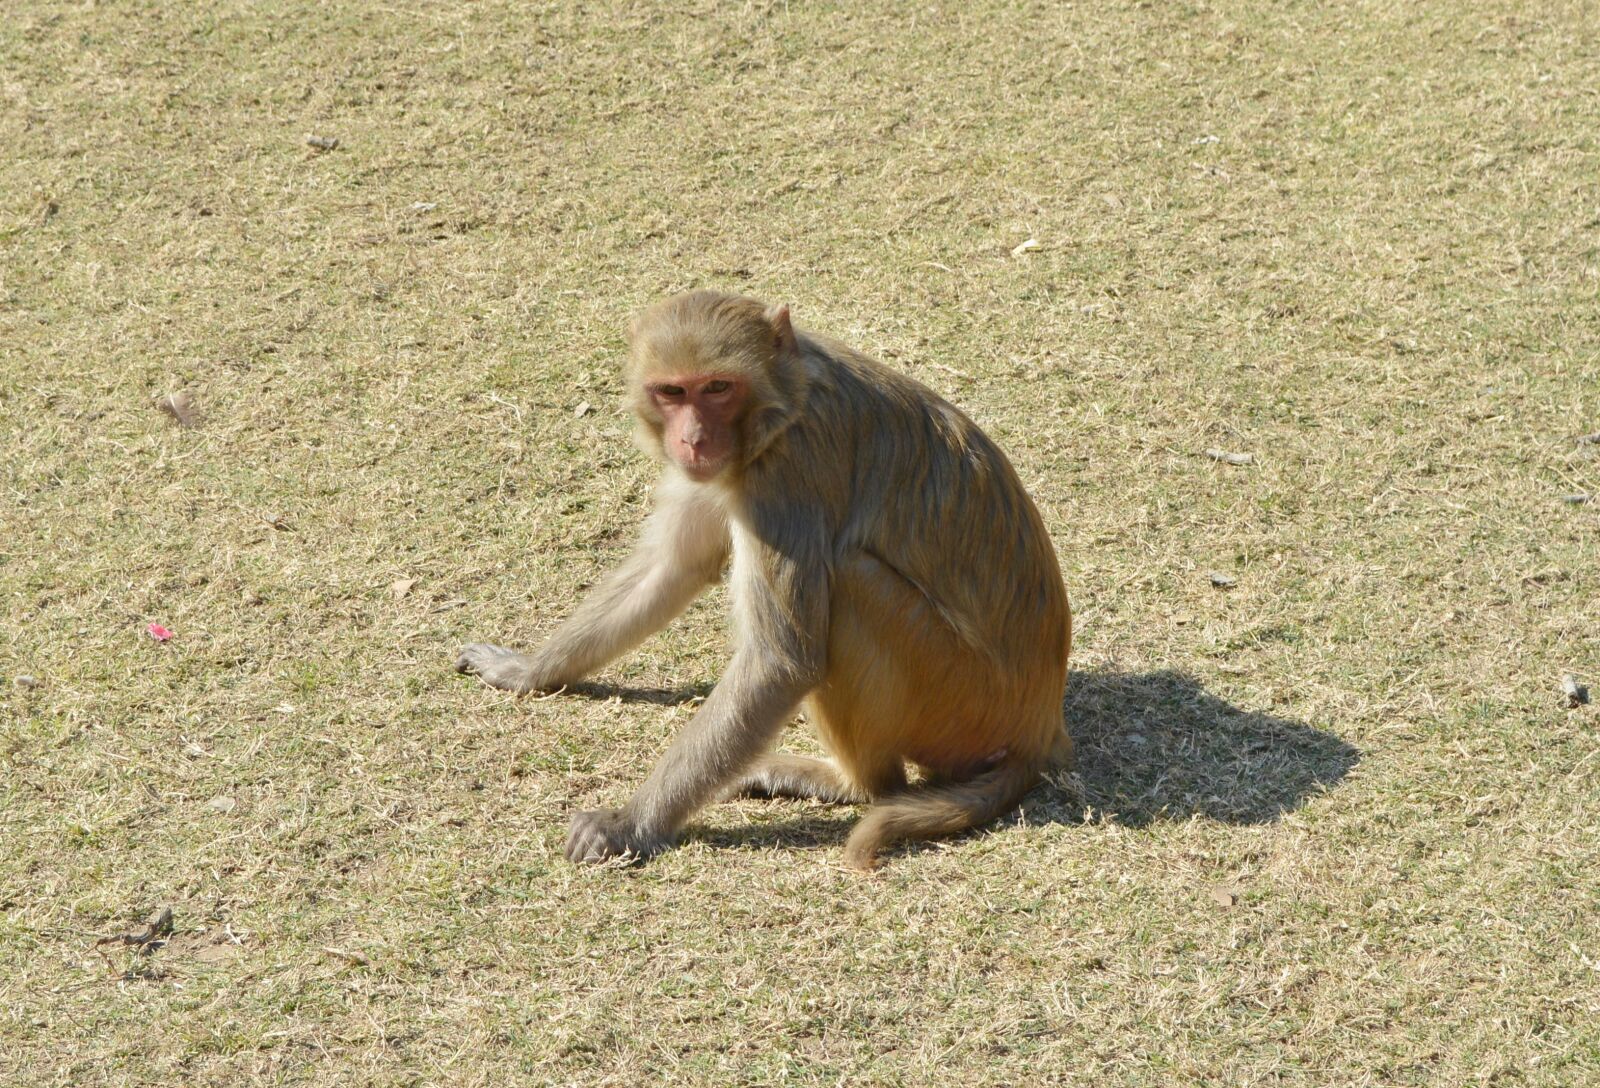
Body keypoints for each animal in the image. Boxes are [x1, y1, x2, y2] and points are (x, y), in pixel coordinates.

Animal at [456, 291, 1071, 869]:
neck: (786, 401)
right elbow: (671, 568)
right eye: (672, 392)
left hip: (959, 704)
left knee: (849, 581)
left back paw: (855, 784)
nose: (694, 440)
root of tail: (1039, 726)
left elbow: (781, 661)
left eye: (718, 388)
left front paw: (629, 823)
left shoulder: (785, 477)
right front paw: (527, 670)